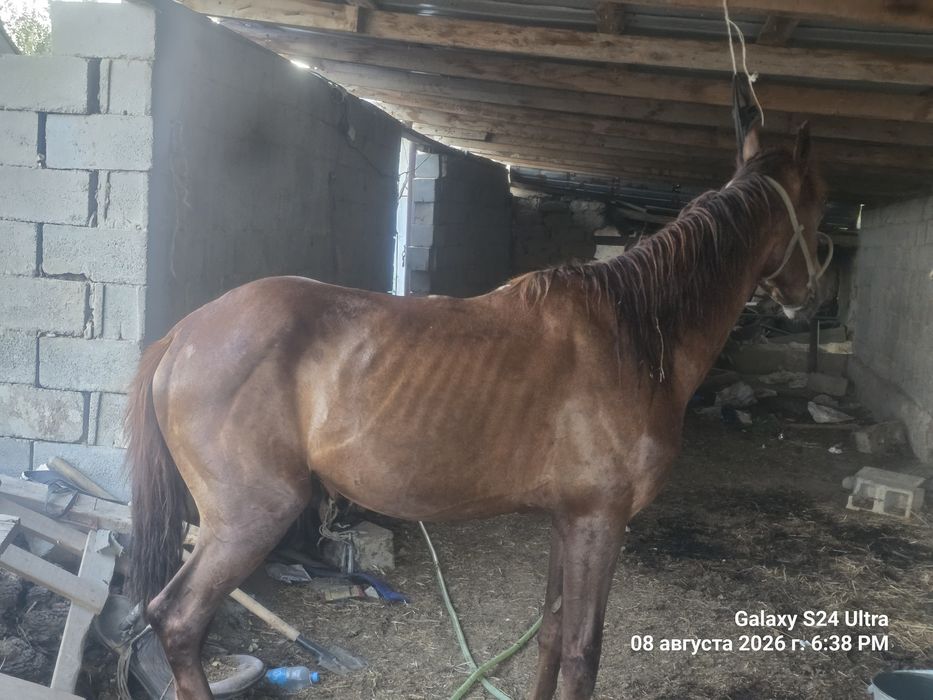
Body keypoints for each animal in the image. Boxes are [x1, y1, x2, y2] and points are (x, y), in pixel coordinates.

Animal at [126, 123, 830, 699]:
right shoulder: (601, 522)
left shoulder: (569, 521)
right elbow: (582, 654)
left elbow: (550, 639)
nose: (811, 298)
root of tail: (181, 335)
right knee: (179, 621)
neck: (633, 336)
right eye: (818, 207)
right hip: (249, 518)